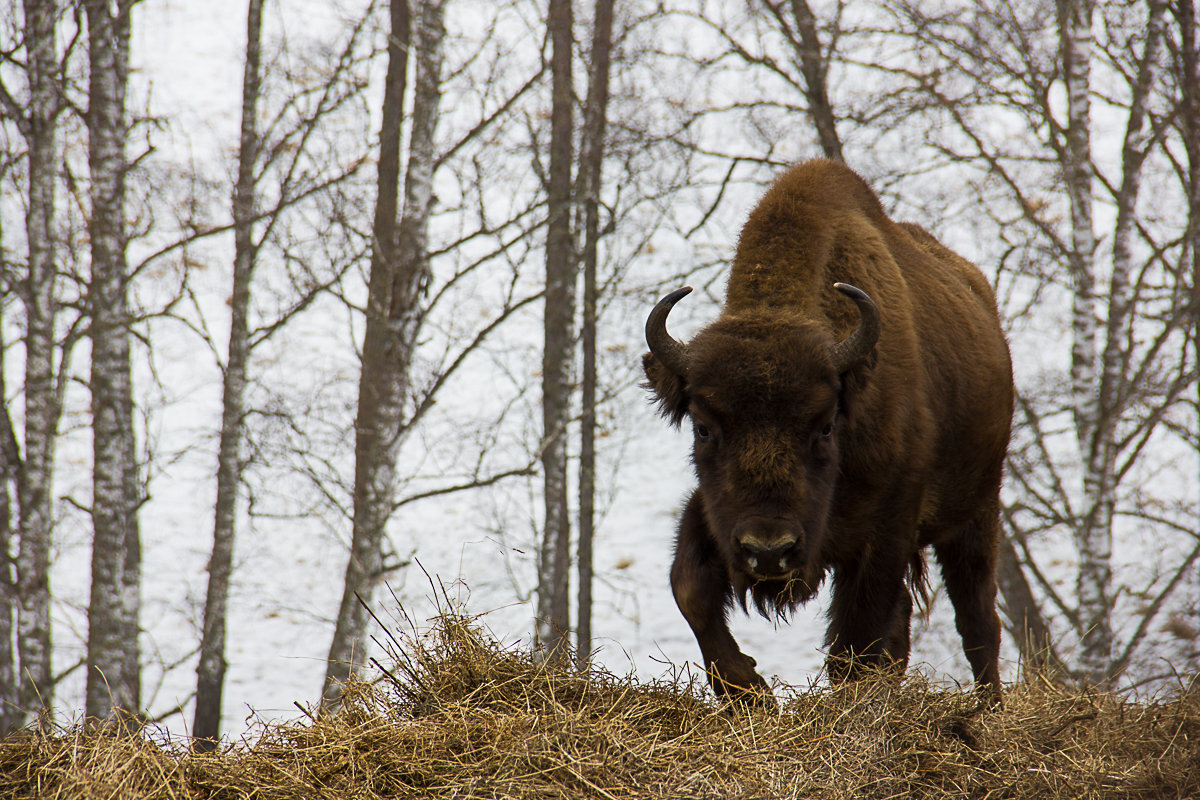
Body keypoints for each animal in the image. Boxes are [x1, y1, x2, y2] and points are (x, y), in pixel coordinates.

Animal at [643, 158, 1008, 700]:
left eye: (825, 425)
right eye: (704, 428)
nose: (768, 551)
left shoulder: (885, 530)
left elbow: (856, 640)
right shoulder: (713, 511)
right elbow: (689, 583)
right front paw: (749, 691)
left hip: (976, 511)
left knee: (978, 618)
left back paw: (990, 706)